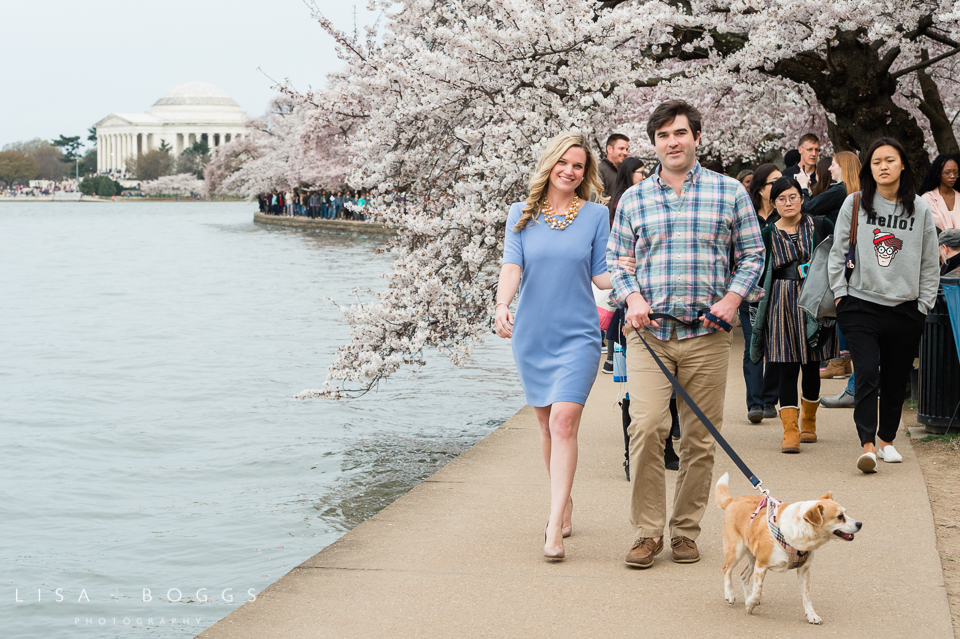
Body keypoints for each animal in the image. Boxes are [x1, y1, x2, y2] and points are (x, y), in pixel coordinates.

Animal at [712, 476, 864, 624]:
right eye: (840, 517)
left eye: (845, 513)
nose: (860, 524)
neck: (800, 529)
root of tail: (733, 500)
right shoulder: (761, 566)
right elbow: (758, 592)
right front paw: (750, 604)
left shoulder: (804, 570)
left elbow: (807, 596)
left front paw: (812, 615)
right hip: (736, 551)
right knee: (726, 569)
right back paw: (730, 594)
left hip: (753, 557)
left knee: (743, 575)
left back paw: (746, 594)